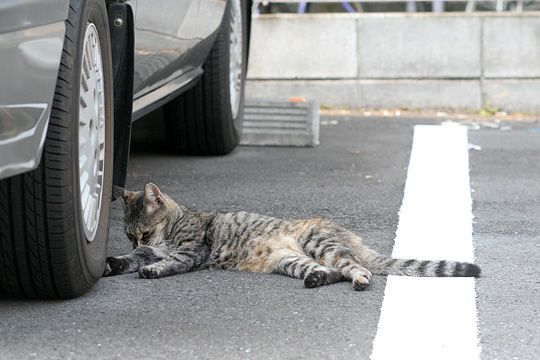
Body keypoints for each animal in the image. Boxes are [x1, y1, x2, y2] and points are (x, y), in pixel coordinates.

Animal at [105, 183, 480, 290]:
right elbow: (129, 261)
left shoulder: (192, 250)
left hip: (319, 244)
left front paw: (152, 270)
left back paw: (360, 279)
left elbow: (169, 261)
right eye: (130, 236)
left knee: (354, 268)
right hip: (289, 260)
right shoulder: (147, 251)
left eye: (145, 231)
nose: (142, 242)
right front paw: (112, 264)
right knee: (330, 272)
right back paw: (316, 279)